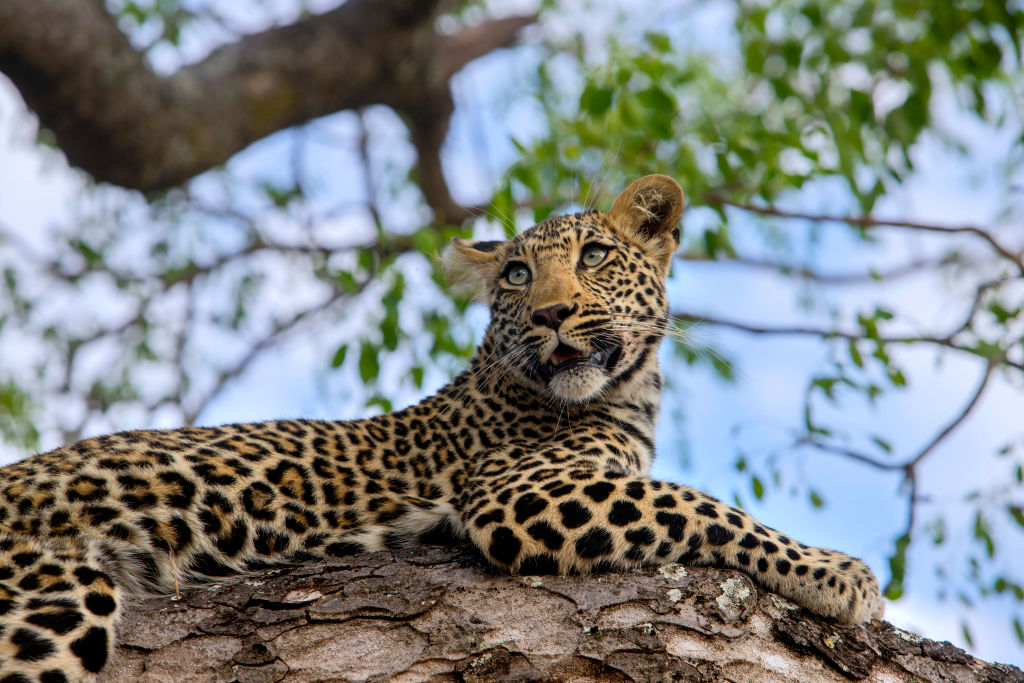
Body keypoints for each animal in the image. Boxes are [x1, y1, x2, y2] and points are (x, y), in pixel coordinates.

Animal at [0, 174, 884, 681]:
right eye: (518, 274)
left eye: (595, 255)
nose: (552, 312)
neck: (629, 391)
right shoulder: (518, 490)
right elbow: (700, 503)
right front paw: (836, 573)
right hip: (53, 590)